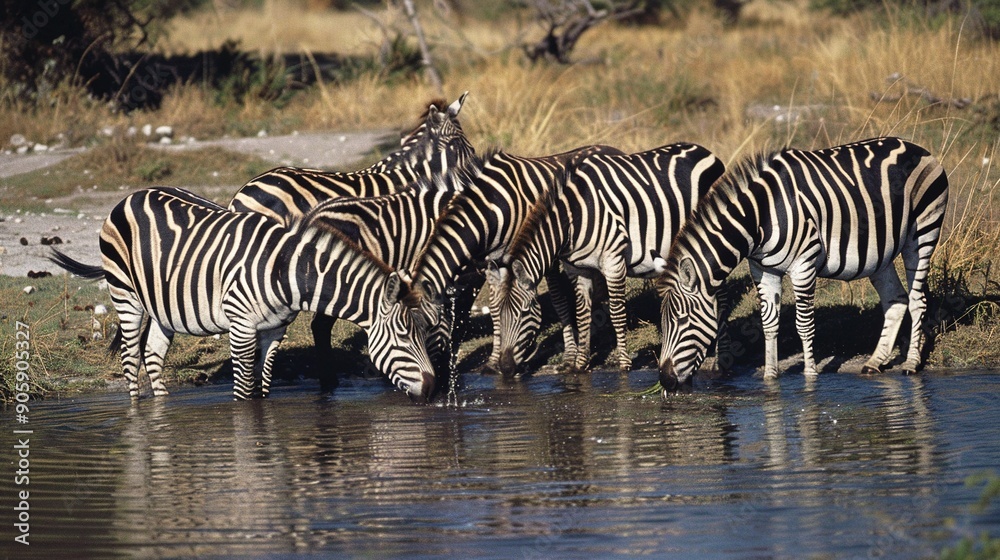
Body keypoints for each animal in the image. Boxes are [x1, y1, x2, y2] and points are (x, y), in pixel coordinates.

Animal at [51, 187, 436, 401]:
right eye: (405, 336)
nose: (432, 389)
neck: (285, 270)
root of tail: (131, 196)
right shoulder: (241, 328)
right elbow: (243, 393)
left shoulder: (274, 330)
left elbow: (261, 388)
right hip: (126, 296)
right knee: (131, 361)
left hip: (163, 307)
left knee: (153, 356)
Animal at [490, 143, 725, 375]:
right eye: (498, 314)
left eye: (523, 313)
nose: (506, 368)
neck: (572, 219)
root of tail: (705, 151)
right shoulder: (577, 269)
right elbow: (582, 313)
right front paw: (580, 363)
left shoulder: (613, 262)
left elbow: (616, 312)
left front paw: (624, 363)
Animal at [656, 137, 949, 393]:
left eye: (681, 320)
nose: (665, 380)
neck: (761, 216)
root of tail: (917, 147)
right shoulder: (763, 269)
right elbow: (769, 323)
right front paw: (770, 377)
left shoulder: (804, 265)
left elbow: (804, 324)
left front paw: (810, 376)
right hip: (881, 254)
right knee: (896, 300)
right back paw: (875, 362)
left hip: (922, 234)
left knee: (917, 301)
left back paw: (911, 363)